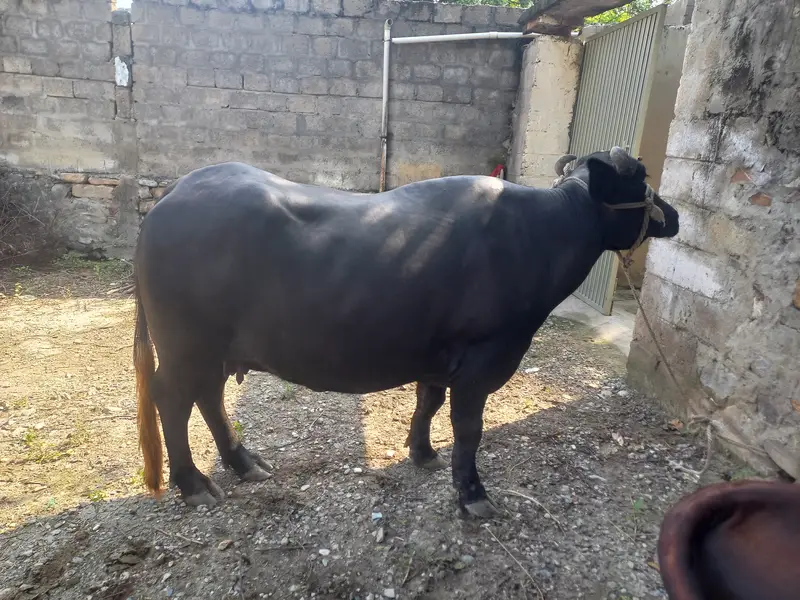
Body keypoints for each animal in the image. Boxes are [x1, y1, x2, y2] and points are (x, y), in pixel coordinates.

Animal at [132, 146, 679, 517]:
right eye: (642, 180)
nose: (672, 215)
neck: (540, 233)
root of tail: (176, 193)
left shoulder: (438, 353)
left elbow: (428, 402)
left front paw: (422, 453)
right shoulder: (485, 356)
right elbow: (468, 427)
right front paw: (473, 494)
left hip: (211, 350)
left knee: (208, 396)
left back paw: (244, 462)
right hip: (185, 346)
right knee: (172, 399)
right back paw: (193, 483)